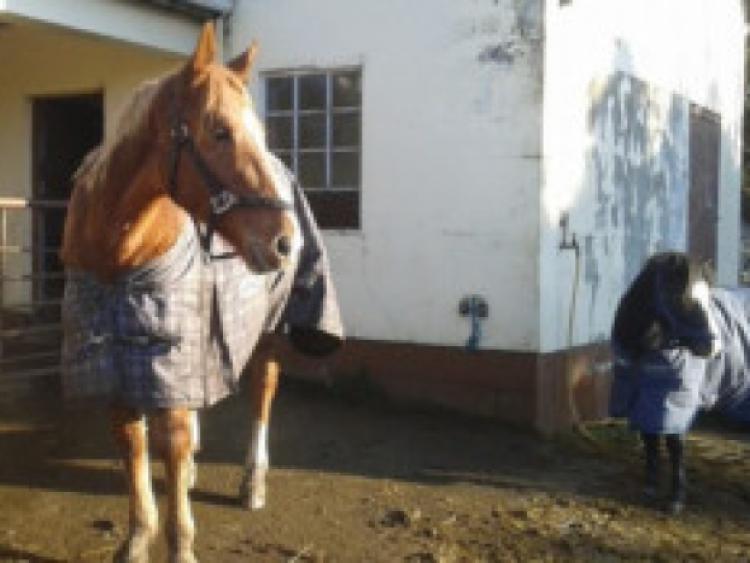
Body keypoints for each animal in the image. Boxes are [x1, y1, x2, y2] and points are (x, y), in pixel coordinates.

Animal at [60, 23, 341, 563]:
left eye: (258, 132)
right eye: (219, 131)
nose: (286, 243)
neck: (117, 258)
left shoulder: (167, 356)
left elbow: (170, 453)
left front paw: (178, 542)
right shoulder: (121, 368)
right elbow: (136, 451)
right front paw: (136, 538)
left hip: (269, 331)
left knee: (262, 395)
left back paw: (252, 482)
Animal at [610, 251, 750, 514]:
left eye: (709, 299)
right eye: (683, 299)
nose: (715, 349)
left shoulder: (674, 401)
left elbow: (675, 447)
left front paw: (676, 499)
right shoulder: (644, 399)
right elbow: (650, 441)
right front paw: (650, 487)